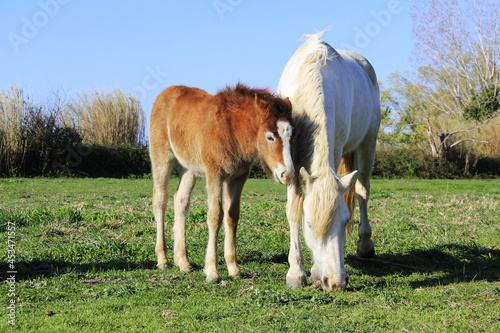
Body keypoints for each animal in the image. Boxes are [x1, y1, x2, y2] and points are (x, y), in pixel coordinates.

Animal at [278, 31, 382, 290]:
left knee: (362, 190)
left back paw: (365, 245)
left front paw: (314, 271)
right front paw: (296, 272)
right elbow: (293, 211)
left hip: (368, 142)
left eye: (344, 221)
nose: (336, 282)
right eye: (309, 224)